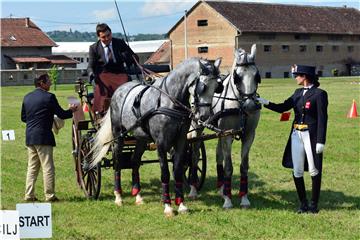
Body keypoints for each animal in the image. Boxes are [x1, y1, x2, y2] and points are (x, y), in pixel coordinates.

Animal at [89, 57, 222, 217]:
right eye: (203, 86)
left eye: (217, 87)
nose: (204, 116)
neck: (169, 101)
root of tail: (119, 90)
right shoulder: (161, 143)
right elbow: (165, 173)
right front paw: (168, 206)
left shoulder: (181, 141)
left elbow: (178, 170)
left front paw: (181, 204)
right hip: (118, 135)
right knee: (117, 162)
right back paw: (118, 197)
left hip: (141, 138)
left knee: (134, 161)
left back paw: (138, 196)